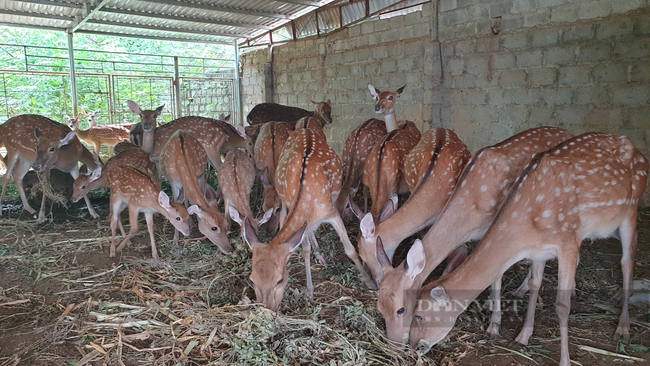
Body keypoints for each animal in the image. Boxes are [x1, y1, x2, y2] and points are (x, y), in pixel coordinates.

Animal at [242, 128, 374, 312]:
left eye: (280, 280)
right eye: (252, 279)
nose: (267, 308)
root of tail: (304, 129)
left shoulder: (332, 211)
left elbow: (349, 249)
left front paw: (369, 281)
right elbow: (305, 249)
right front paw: (310, 291)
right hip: (283, 198)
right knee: (287, 221)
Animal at [374, 126, 572, 344]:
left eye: (401, 310)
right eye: (379, 307)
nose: (393, 341)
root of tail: (567, 132)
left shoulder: (496, 226)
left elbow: (496, 274)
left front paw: (494, 325)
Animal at [408, 132, 644, 366]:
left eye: (418, 315)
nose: (412, 346)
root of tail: (637, 150)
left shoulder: (568, 240)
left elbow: (562, 305)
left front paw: (564, 361)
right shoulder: (539, 251)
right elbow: (534, 284)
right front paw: (521, 337)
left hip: (631, 211)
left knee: (627, 260)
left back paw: (623, 328)